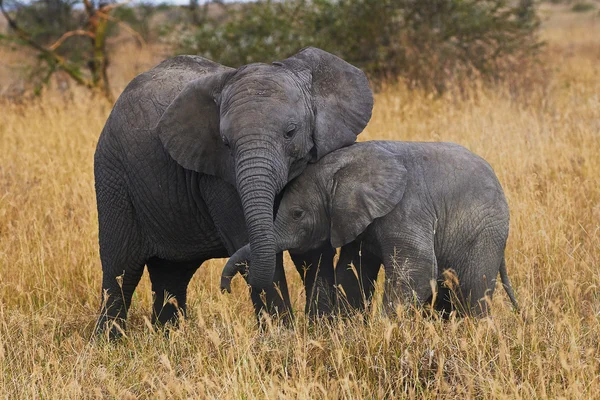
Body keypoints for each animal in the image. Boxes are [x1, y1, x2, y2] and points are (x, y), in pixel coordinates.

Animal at [93, 46, 372, 334]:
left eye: (290, 132)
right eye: (226, 143)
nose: (224, 287)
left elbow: (312, 249)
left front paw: (323, 330)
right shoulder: (219, 179)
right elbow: (253, 250)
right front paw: (281, 335)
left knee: (172, 275)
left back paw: (167, 335)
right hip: (114, 178)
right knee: (121, 271)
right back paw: (109, 340)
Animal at [223, 142, 516, 318]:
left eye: (297, 214)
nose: (225, 289)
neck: (345, 166)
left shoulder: (406, 209)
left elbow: (417, 270)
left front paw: (386, 327)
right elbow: (352, 273)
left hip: (485, 233)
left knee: (473, 291)